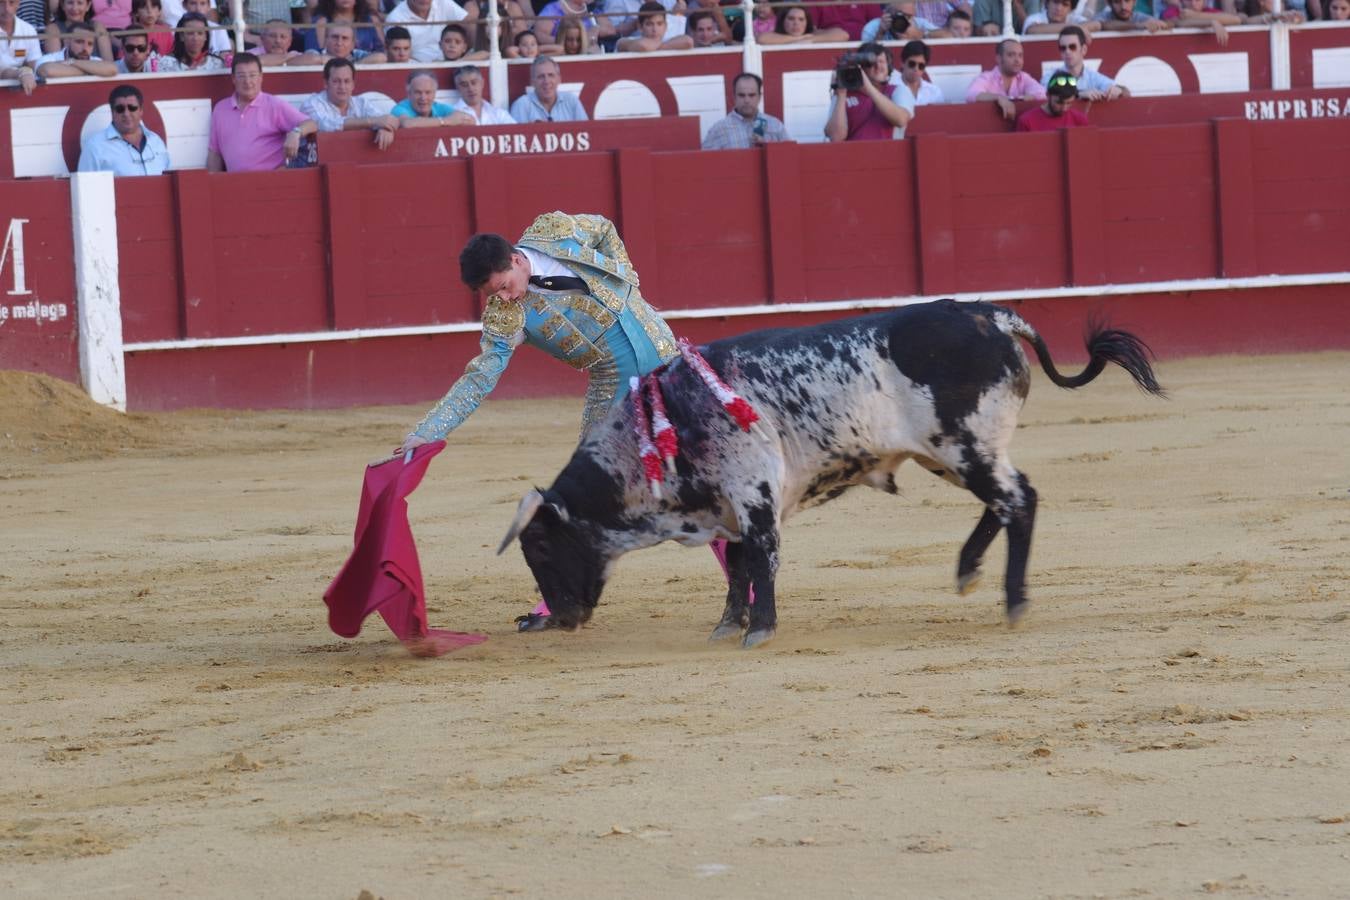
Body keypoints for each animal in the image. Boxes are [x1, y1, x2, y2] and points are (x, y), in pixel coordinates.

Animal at [496, 300, 1161, 647]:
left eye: (542, 550)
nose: (561, 618)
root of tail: (988, 315)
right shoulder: (726, 505)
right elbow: (739, 566)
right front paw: (728, 626)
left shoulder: (753, 494)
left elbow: (761, 561)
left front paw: (759, 631)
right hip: (951, 455)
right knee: (1004, 501)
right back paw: (968, 570)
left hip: (966, 447)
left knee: (1018, 500)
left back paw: (1013, 599)